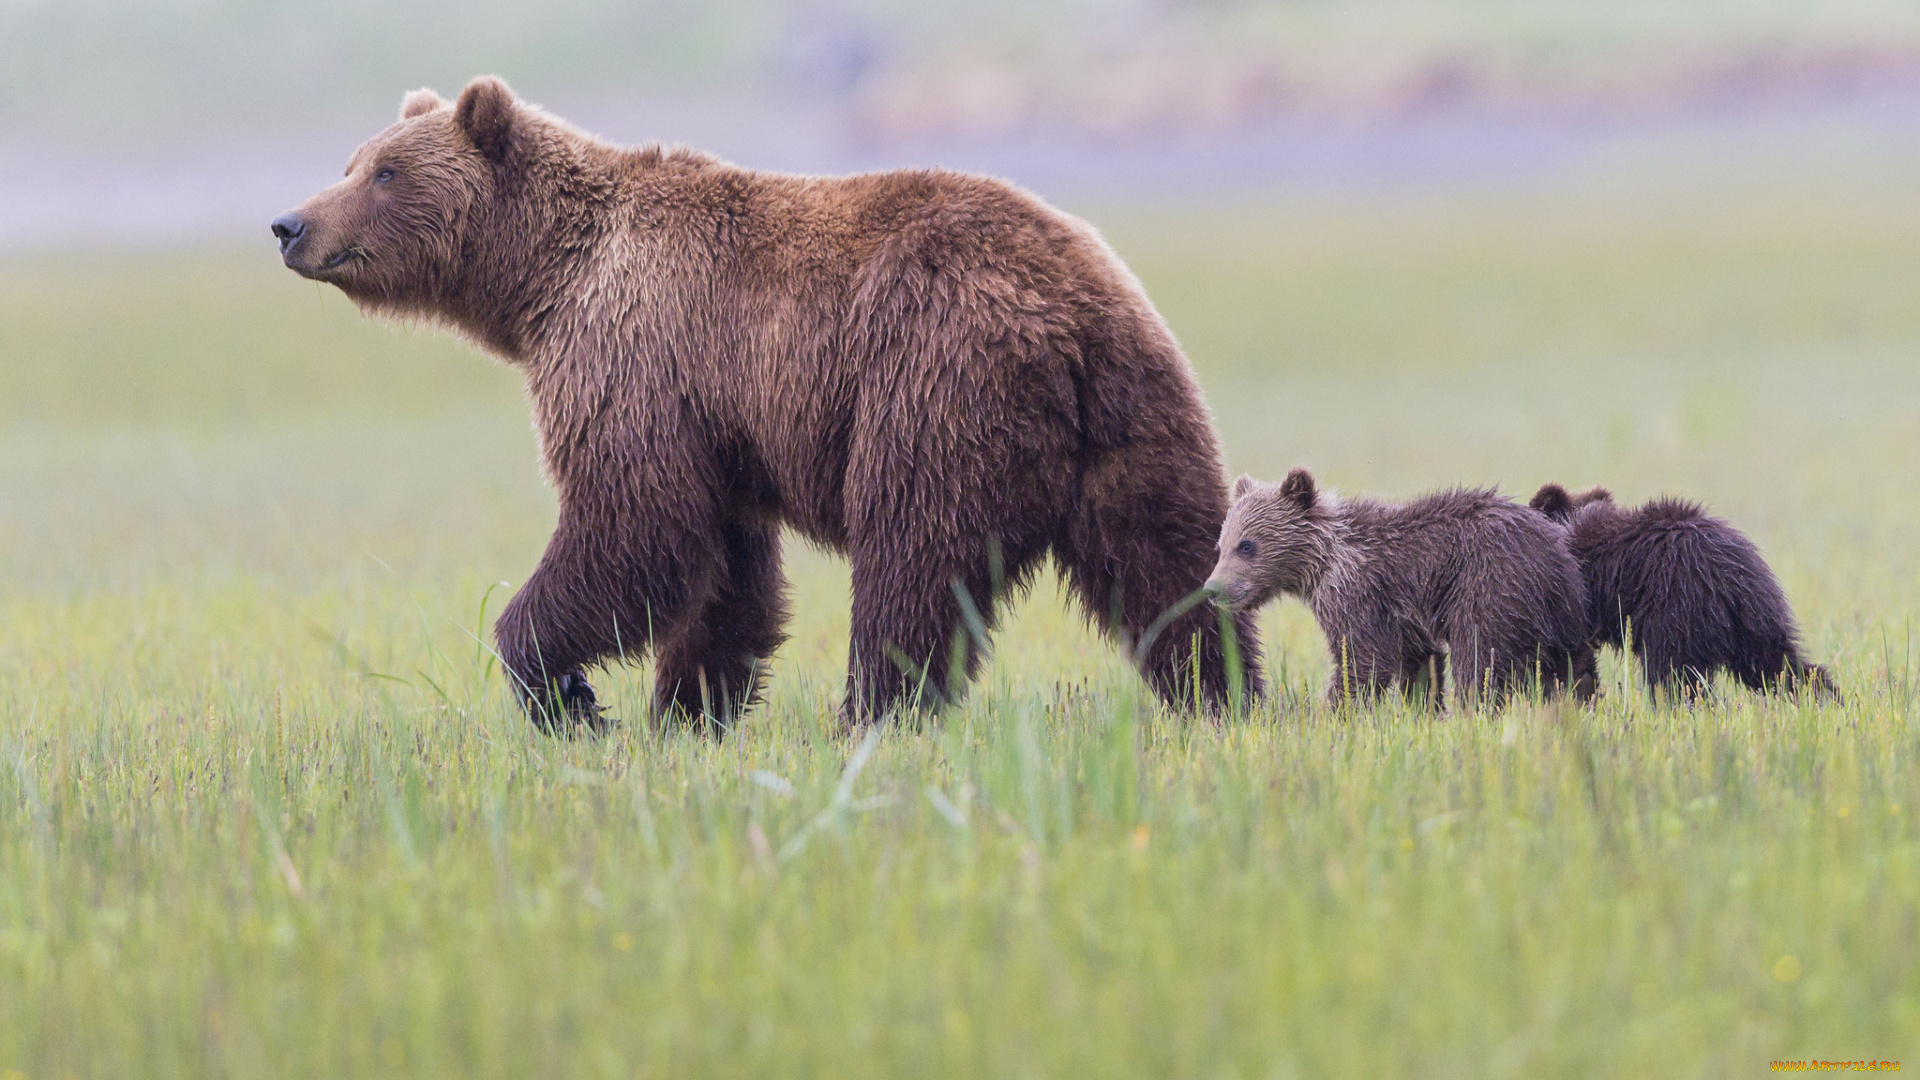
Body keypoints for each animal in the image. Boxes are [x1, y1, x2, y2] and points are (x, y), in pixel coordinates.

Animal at [274, 75, 1259, 730]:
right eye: (354, 160)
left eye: (385, 172)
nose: (290, 223)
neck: (542, 281)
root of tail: (1065, 313)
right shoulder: (715, 417)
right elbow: (724, 571)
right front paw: (689, 711)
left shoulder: (632, 355)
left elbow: (632, 525)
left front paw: (568, 693)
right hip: (1137, 411)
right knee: (1171, 563)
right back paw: (1225, 697)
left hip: (931, 381)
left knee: (912, 560)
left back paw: (871, 714)